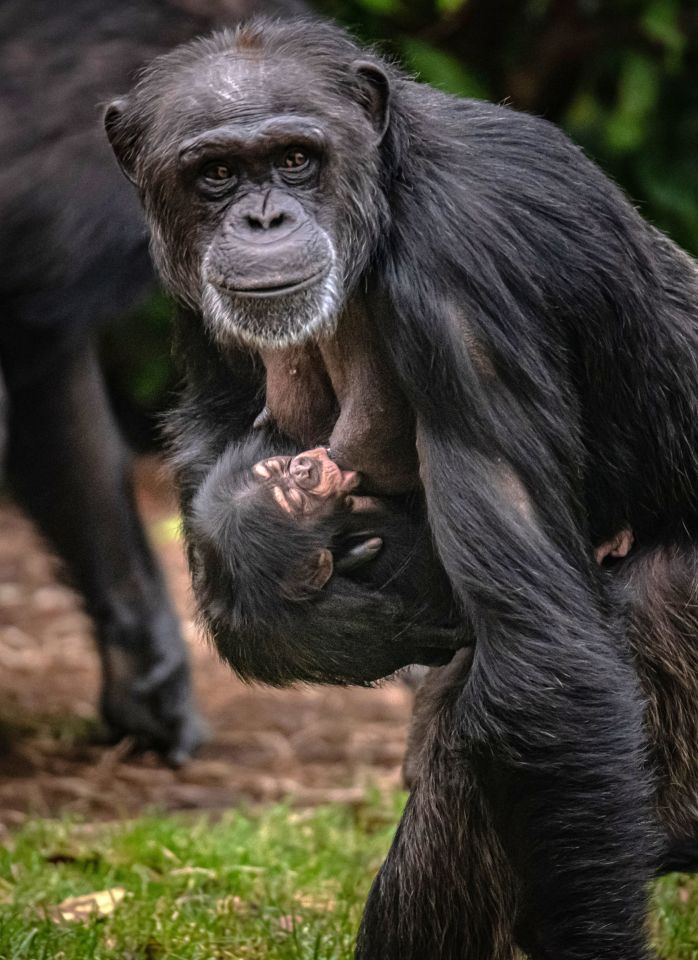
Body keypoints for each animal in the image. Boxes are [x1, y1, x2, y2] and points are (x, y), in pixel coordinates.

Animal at [106, 16, 696, 960]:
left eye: (296, 158)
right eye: (217, 173)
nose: (263, 215)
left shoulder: (462, 282)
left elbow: (546, 663)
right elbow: (215, 426)